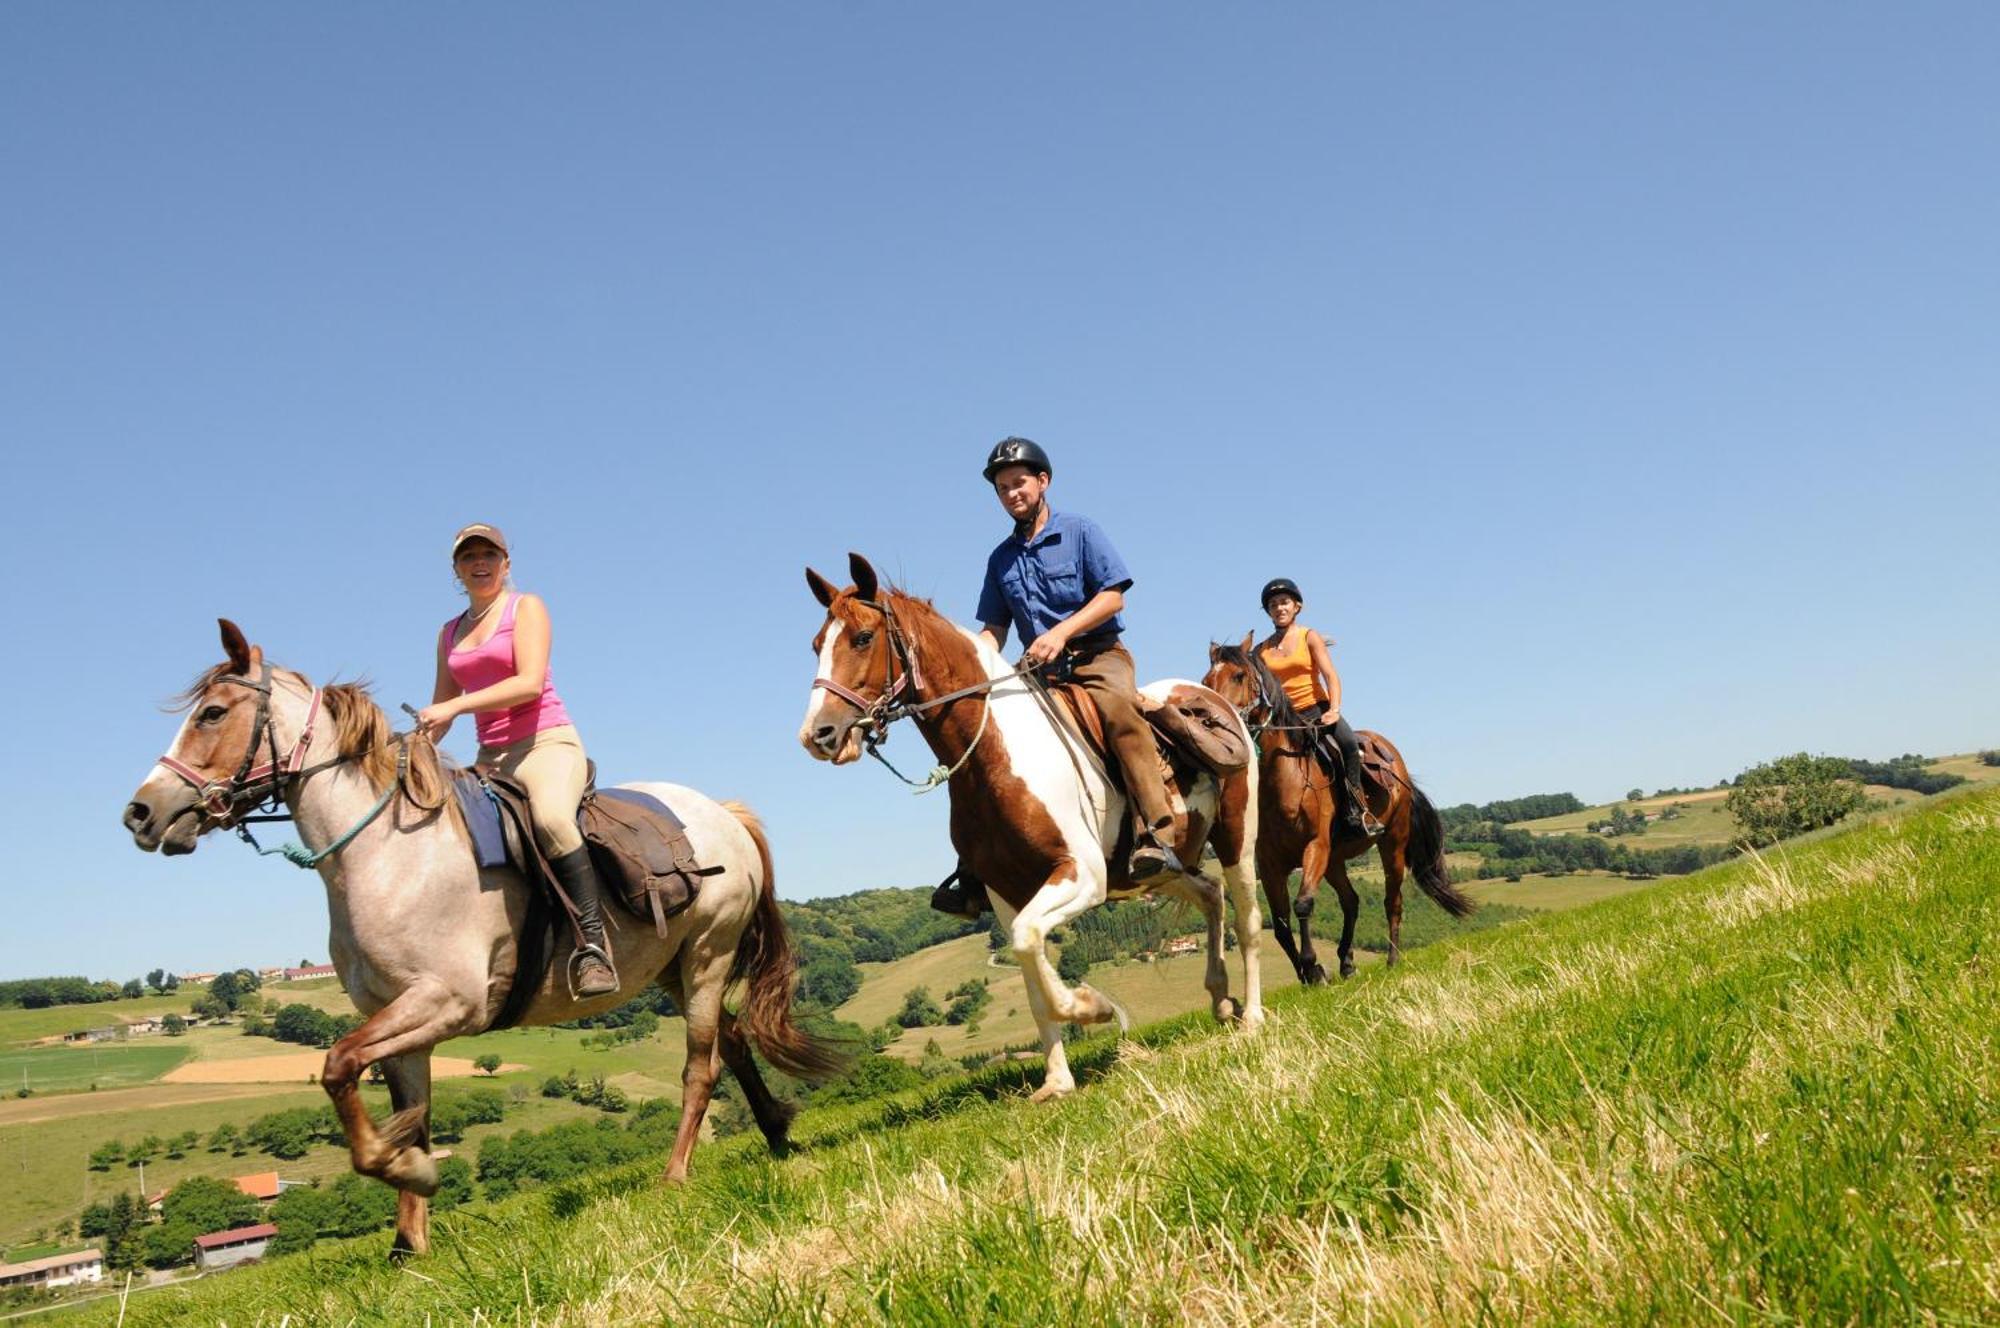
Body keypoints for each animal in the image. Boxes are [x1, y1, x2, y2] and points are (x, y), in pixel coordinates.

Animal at [123, 620, 844, 1256]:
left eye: (213, 713)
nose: (141, 813)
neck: (386, 854)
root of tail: (723, 813)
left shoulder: (448, 1003)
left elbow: (337, 1066)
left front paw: (407, 1170)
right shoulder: (400, 1021)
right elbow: (401, 1107)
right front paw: (408, 1241)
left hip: (707, 956)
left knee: (703, 1065)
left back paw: (675, 1174)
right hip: (672, 969)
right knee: (735, 1040)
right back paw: (777, 1134)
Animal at [800, 552, 1256, 1096]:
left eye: (863, 638)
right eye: (816, 645)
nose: (817, 735)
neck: (999, 753)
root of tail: (1210, 696)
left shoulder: (1082, 877)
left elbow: (1028, 942)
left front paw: (1093, 1007)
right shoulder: (1005, 894)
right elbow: (1030, 974)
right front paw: (1058, 1081)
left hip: (1237, 838)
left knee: (1248, 919)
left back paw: (1252, 1018)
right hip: (1161, 869)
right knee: (1210, 894)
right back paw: (1221, 1000)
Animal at [1200, 640, 1472, 980]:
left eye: (1238, 676)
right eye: (1206, 681)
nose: (1211, 723)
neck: (1284, 779)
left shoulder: (1315, 846)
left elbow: (1303, 905)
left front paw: (1313, 967)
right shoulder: (1270, 864)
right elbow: (1280, 926)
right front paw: (1309, 974)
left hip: (1392, 844)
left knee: (1392, 901)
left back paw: (1392, 960)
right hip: (1335, 861)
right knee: (1351, 901)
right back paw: (1346, 962)